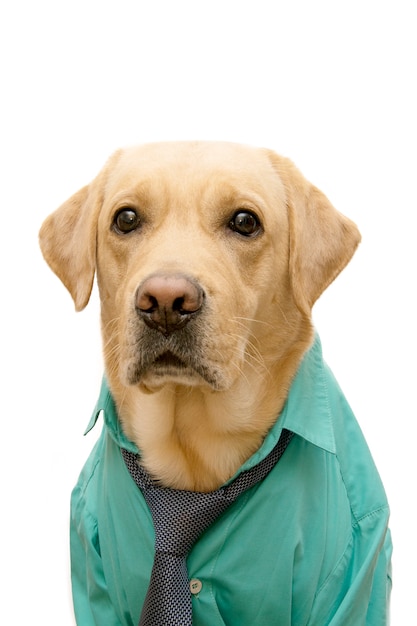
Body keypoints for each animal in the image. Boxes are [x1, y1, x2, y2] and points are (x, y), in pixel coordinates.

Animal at [39, 141, 390, 624]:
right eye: (125, 219)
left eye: (245, 221)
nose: (166, 302)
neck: (192, 451)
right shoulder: (98, 587)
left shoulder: (350, 576)